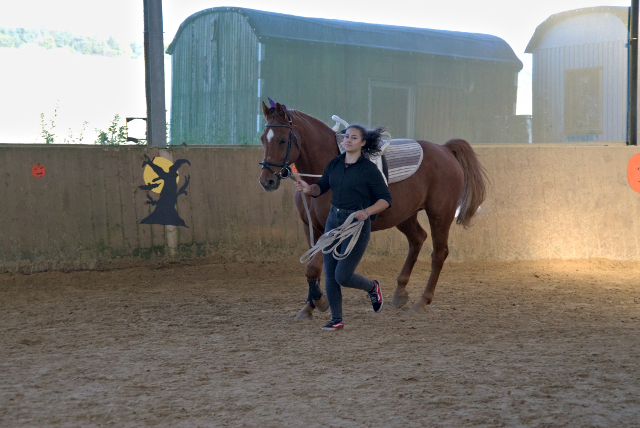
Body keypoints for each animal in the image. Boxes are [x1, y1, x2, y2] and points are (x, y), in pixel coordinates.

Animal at [258, 101, 487, 320]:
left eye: (282, 140)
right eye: (262, 139)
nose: (266, 181)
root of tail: (445, 149)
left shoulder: (333, 231)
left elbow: (313, 268)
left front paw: (320, 302)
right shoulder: (310, 228)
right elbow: (311, 268)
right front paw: (309, 307)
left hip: (440, 215)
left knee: (439, 254)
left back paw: (422, 302)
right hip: (405, 216)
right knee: (417, 239)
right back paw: (400, 292)